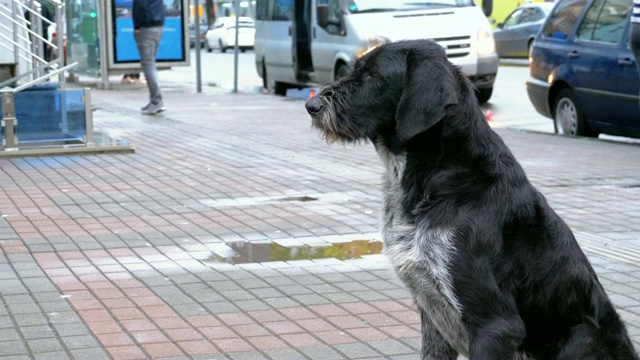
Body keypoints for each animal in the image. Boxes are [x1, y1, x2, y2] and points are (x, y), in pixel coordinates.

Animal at [304, 40, 640, 360]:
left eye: (374, 74)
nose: (311, 104)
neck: (444, 173)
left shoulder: (495, 326)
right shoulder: (433, 316)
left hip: (581, 335)